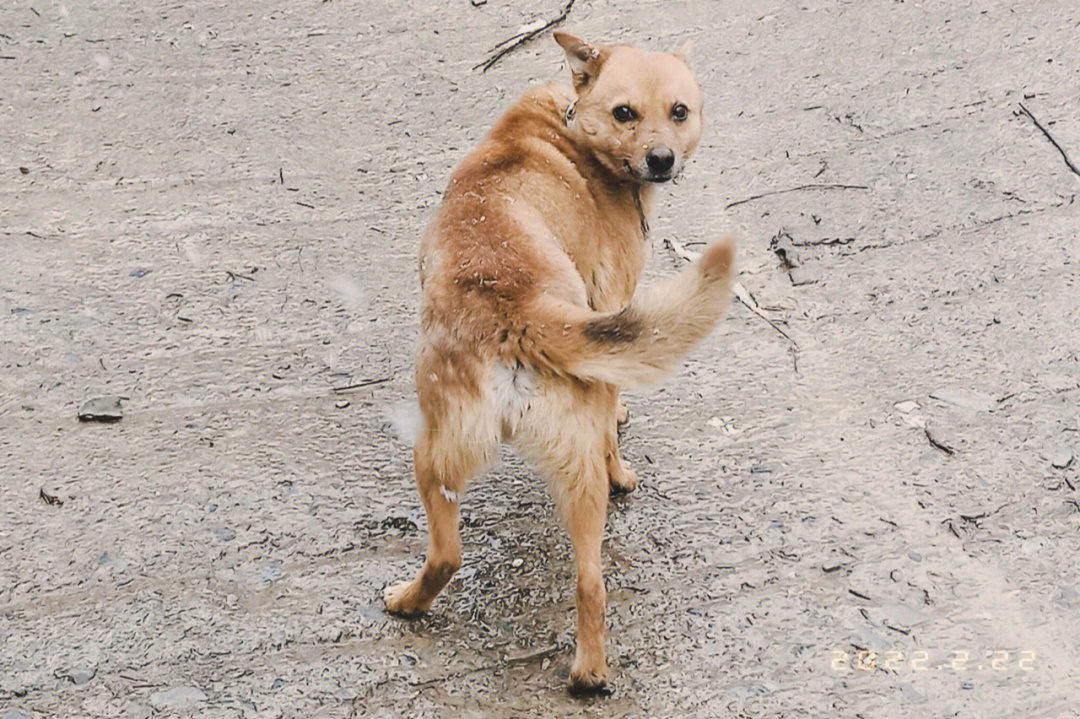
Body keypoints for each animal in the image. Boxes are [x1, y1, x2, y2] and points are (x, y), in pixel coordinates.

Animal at [384, 32, 738, 690]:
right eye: (626, 113)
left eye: (678, 112)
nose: (661, 159)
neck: (572, 127)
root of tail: (515, 313)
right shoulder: (614, 297)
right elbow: (619, 401)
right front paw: (623, 432)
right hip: (525, 466)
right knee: (578, 555)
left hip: (455, 462)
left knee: (479, 561)